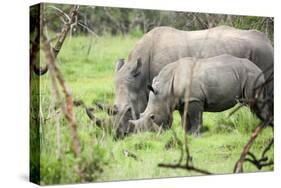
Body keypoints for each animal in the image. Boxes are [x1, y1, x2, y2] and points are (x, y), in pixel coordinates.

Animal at [128, 54, 264, 135]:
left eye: (152, 117)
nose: (147, 135)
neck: (165, 88)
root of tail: (259, 69)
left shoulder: (194, 99)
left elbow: (195, 118)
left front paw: (195, 134)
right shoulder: (182, 102)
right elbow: (185, 119)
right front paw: (187, 134)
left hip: (252, 76)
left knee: (254, 103)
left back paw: (260, 125)